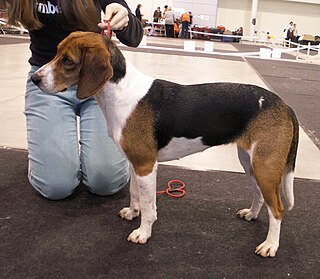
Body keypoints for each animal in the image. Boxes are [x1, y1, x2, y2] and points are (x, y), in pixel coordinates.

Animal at [31, 31, 298, 260]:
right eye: (56, 51)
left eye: (67, 60)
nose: (35, 78)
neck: (120, 91)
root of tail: (285, 105)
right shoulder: (135, 164)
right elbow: (135, 194)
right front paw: (132, 213)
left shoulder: (146, 166)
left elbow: (149, 206)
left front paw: (143, 232)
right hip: (251, 164)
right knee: (260, 196)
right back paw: (251, 214)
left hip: (265, 167)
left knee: (278, 210)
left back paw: (270, 245)